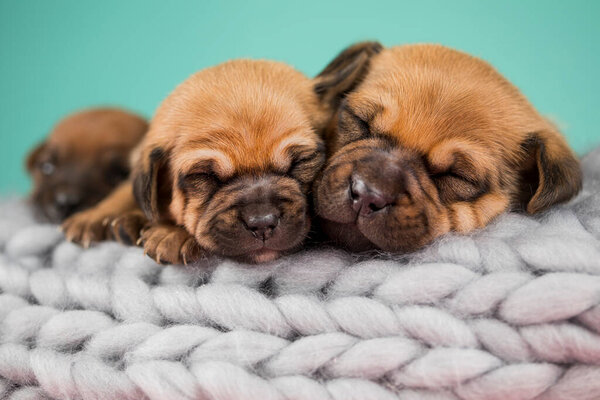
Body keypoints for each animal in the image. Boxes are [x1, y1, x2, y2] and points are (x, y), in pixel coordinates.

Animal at [60, 56, 350, 262]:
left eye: (301, 162)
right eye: (204, 176)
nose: (262, 223)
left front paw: (171, 234)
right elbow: (124, 192)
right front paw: (95, 216)